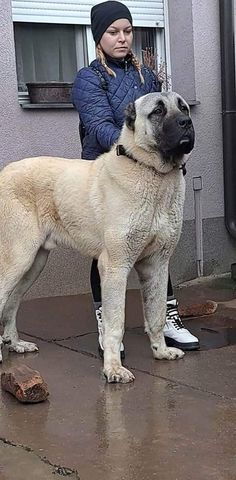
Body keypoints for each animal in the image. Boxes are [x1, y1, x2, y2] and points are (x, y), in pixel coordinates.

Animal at [0, 92, 194, 382]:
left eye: (183, 107)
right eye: (158, 111)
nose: (186, 122)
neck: (150, 170)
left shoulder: (157, 266)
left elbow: (156, 313)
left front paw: (160, 351)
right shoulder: (114, 267)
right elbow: (115, 323)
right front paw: (113, 368)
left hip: (33, 264)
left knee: (11, 303)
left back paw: (15, 344)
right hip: (18, 258)